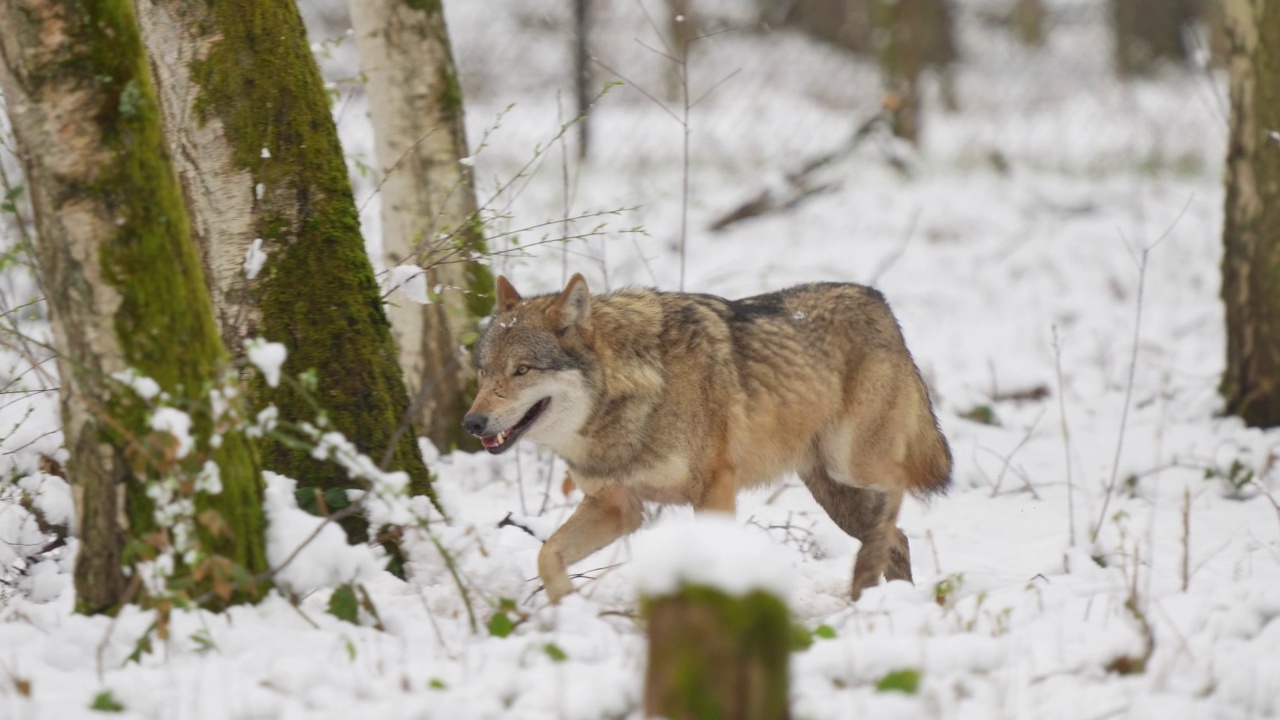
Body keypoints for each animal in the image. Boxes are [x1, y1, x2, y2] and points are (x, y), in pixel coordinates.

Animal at [463, 272, 952, 599]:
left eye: (522, 370)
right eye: (483, 371)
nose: (472, 423)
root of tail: (877, 299)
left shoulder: (713, 488)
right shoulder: (617, 507)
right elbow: (547, 554)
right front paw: (568, 607)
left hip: (851, 465)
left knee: (898, 486)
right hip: (834, 493)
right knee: (897, 537)